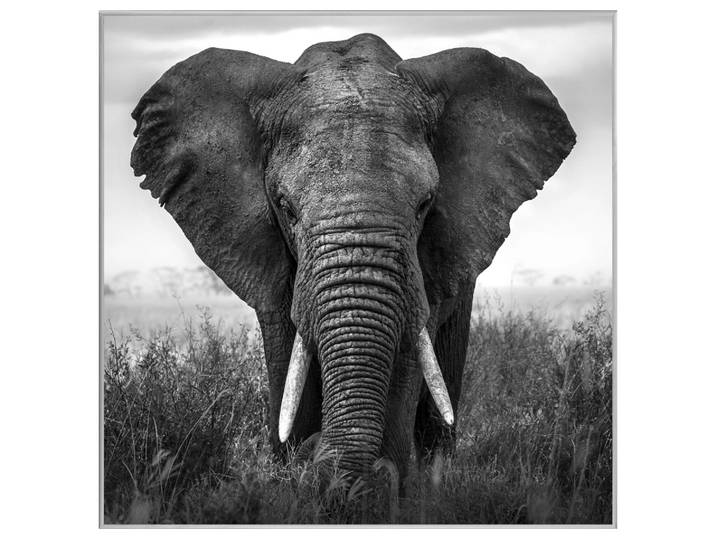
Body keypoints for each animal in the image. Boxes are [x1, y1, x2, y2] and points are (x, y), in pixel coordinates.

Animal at [130, 33, 575, 484]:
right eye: (286, 208)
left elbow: (408, 350)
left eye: (425, 205)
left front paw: (379, 483)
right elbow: (287, 353)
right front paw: (296, 471)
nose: (315, 453)